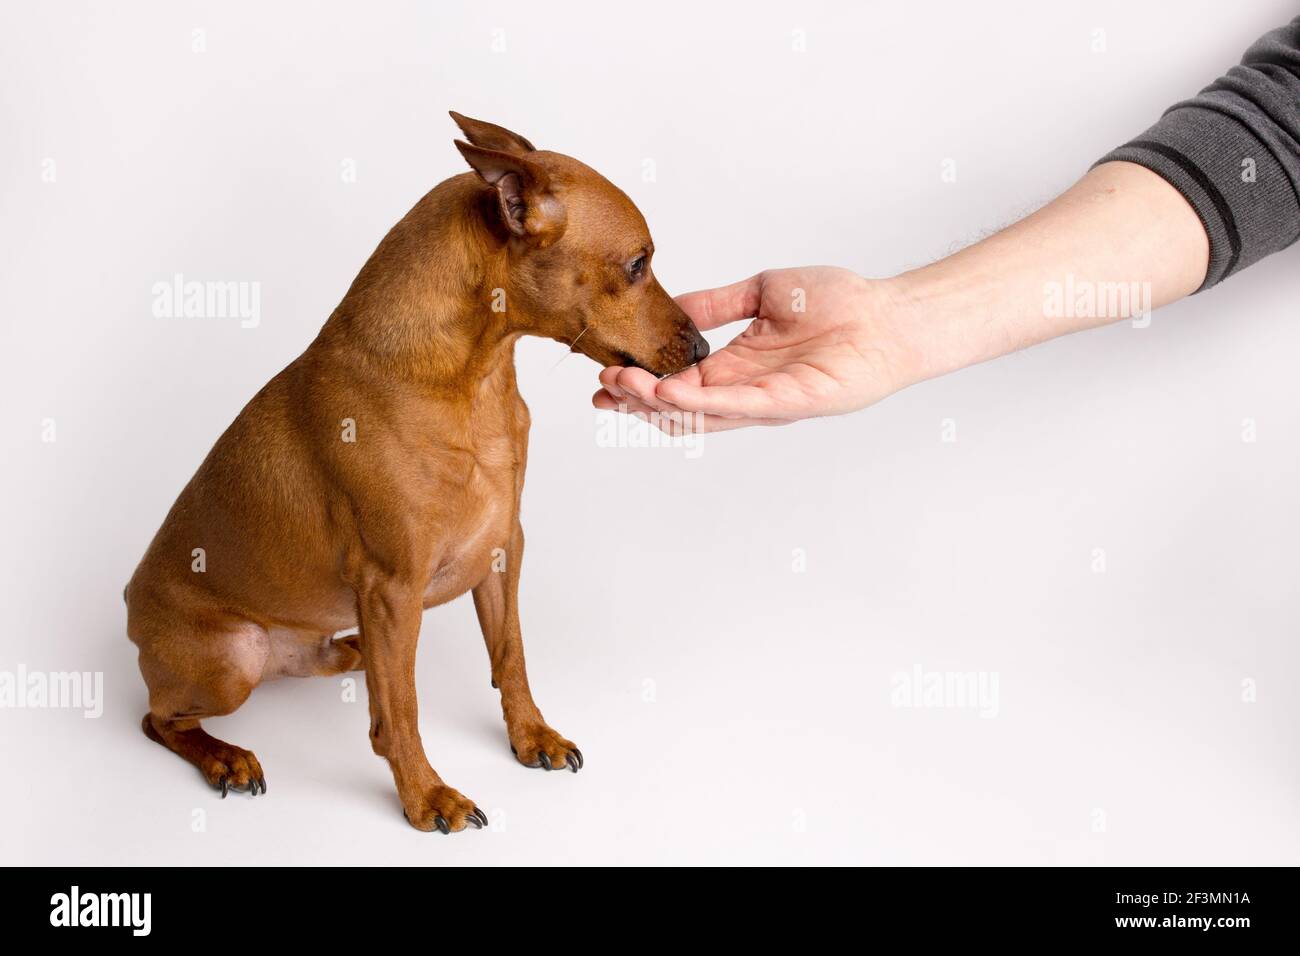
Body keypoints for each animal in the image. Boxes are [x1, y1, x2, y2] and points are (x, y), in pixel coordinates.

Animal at [126, 110, 707, 832]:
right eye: (637, 264)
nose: (703, 347)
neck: (468, 382)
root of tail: (127, 605)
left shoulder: (502, 549)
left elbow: (511, 657)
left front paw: (531, 736)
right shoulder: (392, 587)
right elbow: (399, 714)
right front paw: (427, 797)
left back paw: (345, 654)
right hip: (231, 662)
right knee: (158, 720)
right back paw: (224, 757)